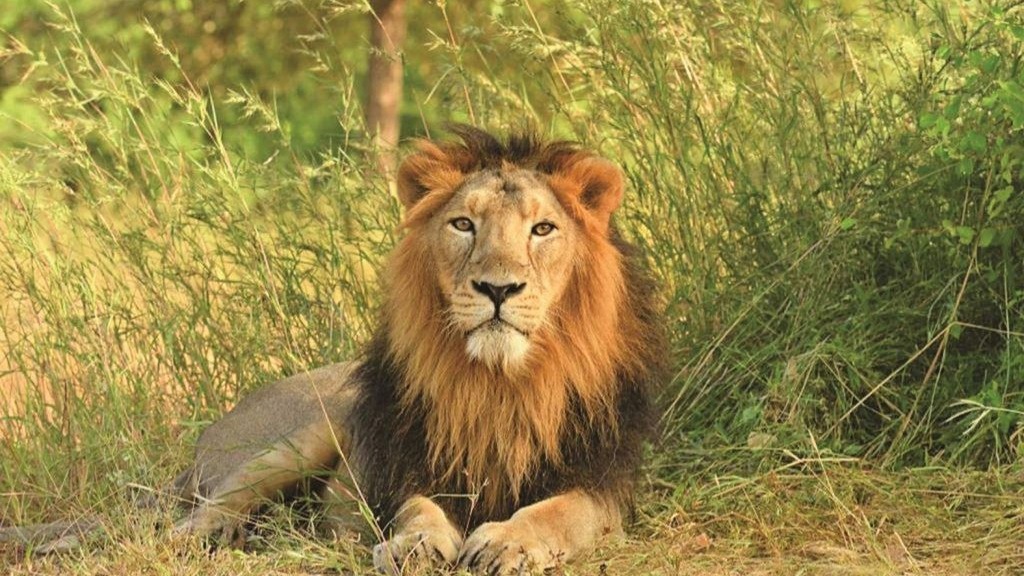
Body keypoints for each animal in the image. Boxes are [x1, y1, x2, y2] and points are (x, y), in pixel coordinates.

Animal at [170, 126, 668, 574]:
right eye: (463, 224)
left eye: (543, 229)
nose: (498, 288)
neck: (500, 383)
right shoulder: (408, 465)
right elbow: (418, 508)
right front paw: (416, 544)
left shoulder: (602, 484)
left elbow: (558, 512)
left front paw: (507, 543)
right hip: (303, 435)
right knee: (216, 501)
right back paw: (205, 534)